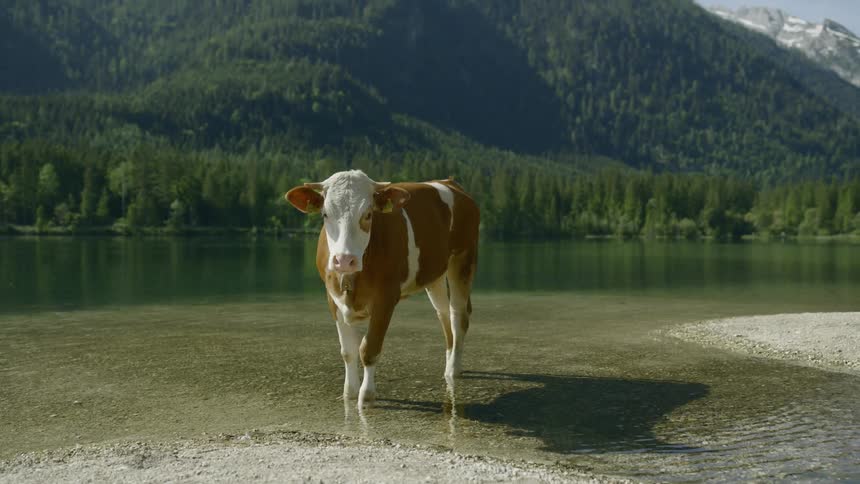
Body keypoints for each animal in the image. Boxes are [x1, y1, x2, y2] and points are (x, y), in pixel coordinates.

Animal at [286, 170, 479, 408]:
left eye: (368, 214)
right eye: (325, 214)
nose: (344, 260)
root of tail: (448, 182)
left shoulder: (386, 298)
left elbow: (369, 349)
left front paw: (366, 396)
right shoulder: (333, 298)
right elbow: (348, 351)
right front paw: (349, 393)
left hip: (464, 257)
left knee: (458, 314)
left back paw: (453, 370)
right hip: (434, 273)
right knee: (443, 313)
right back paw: (449, 360)